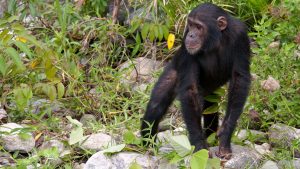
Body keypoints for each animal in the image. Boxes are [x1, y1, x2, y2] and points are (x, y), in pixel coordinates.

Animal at [141, 2, 251, 159]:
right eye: (191, 25)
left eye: (199, 27)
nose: (191, 35)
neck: (216, 39)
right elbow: (190, 90)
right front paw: (199, 145)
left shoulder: (240, 36)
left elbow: (239, 80)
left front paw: (224, 137)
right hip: (174, 71)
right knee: (156, 106)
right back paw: (147, 144)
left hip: (211, 92)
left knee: (210, 108)